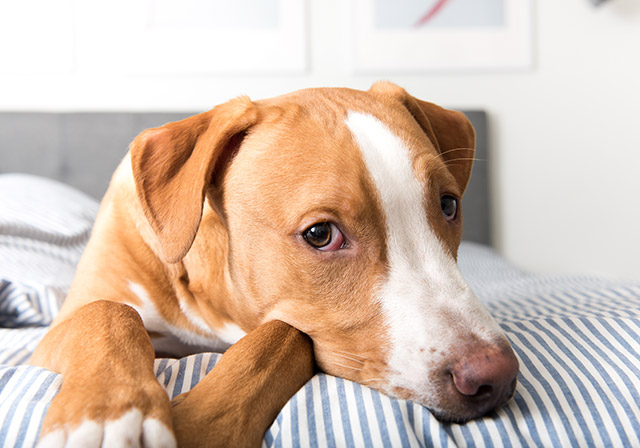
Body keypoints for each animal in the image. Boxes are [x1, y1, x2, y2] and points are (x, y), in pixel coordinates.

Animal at [31, 82, 520, 446]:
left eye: (448, 205)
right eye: (320, 234)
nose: (495, 377)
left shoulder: (286, 326)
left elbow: (280, 336)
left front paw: (200, 424)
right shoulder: (61, 327)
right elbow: (107, 313)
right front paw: (107, 412)